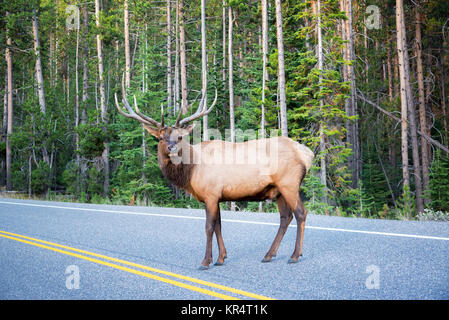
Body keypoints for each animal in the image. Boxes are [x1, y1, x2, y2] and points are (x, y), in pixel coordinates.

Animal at [114, 81, 314, 268]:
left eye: (180, 137)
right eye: (161, 138)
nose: (172, 148)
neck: (191, 171)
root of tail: (307, 153)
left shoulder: (210, 194)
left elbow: (209, 227)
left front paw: (206, 261)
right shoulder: (214, 196)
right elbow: (219, 226)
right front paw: (220, 258)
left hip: (289, 183)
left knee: (300, 213)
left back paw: (294, 255)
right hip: (277, 190)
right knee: (285, 217)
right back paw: (269, 255)